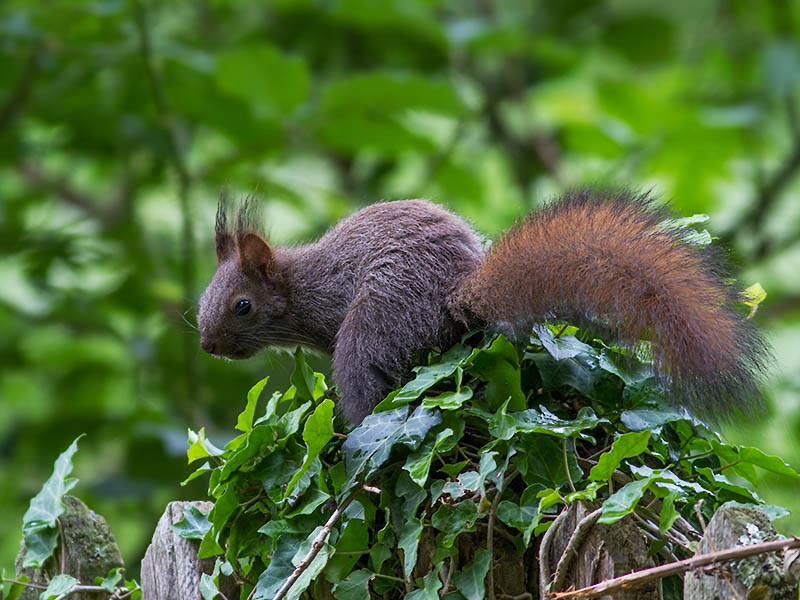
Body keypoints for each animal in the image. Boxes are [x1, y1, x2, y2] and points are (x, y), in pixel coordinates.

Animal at [195, 189, 768, 426]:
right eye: (204, 299)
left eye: (242, 306)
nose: (207, 345)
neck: (300, 288)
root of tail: (455, 294)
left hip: (373, 326)